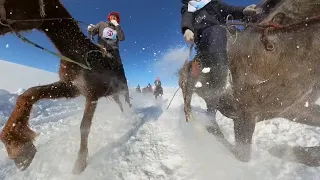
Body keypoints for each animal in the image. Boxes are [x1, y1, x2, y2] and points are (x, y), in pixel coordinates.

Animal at [0, 0, 131, 174]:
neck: (77, 54)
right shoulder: (71, 88)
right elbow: (30, 93)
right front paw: (17, 147)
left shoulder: (92, 94)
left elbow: (84, 127)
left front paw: (80, 163)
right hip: (113, 93)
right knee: (119, 103)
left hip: (123, 89)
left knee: (127, 101)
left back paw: (132, 114)